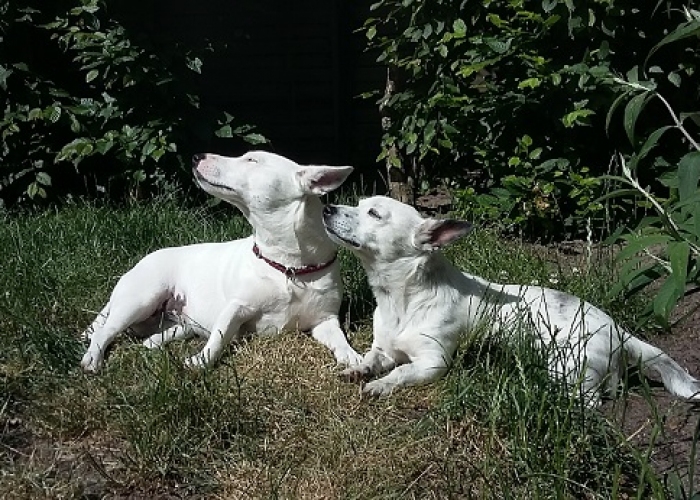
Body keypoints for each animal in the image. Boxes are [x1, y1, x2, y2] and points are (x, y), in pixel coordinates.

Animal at [82, 149, 364, 372]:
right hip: (141, 299)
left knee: (167, 331)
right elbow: (220, 336)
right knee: (104, 331)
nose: (196, 156)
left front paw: (354, 358)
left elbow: (340, 339)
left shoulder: (324, 320)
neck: (288, 266)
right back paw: (93, 359)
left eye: (251, 160)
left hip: (175, 319)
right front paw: (201, 361)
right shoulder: (236, 307)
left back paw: (152, 343)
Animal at [322, 195, 700, 406]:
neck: (401, 300)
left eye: (374, 214)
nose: (326, 207)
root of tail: (620, 331)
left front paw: (381, 385)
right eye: (357, 205)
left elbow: (401, 372)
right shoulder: (384, 348)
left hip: (568, 367)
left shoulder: (432, 363)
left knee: (589, 402)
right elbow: (372, 358)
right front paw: (358, 370)